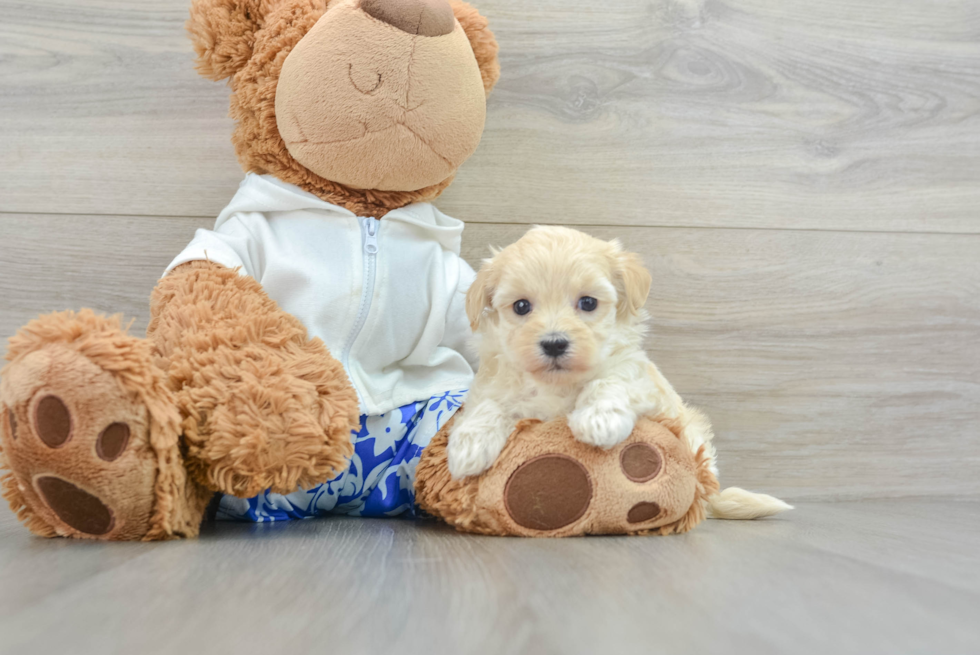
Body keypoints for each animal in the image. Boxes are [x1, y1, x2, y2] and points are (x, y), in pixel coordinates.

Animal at [448, 228, 792, 520]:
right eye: (521, 306)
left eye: (588, 302)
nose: (554, 343)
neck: (558, 384)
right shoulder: (494, 383)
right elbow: (488, 404)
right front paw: (469, 445)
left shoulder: (640, 378)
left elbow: (611, 380)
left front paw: (598, 420)